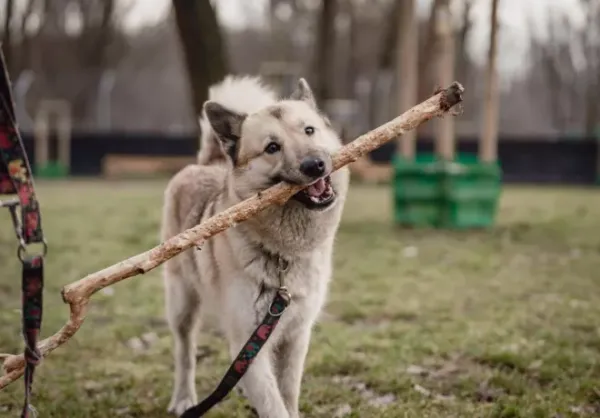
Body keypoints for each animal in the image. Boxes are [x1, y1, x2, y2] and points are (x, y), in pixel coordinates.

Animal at [162, 76, 352, 418]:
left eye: (309, 130)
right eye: (272, 148)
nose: (315, 165)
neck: (283, 254)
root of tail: (208, 164)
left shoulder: (295, 337)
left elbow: (287, 392)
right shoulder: (248, 334)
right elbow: (274, 404)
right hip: (182, 304)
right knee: (185, 352)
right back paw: (184, 397)